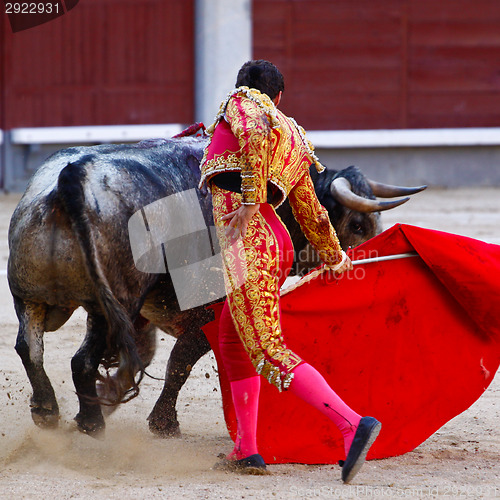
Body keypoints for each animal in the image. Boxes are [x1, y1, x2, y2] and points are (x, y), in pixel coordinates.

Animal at [5, 135, 424, 436]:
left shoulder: (143, 316)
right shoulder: (212, 309)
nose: (359, 267)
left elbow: (146, 356)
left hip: (30, 294)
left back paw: (49, 411)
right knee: (80, 359)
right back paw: (90, 422)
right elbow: (181, 359)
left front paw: (112, 395)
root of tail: (71, 179)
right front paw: (163, 423)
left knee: (30, 348)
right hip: (107, 307)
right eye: (358, 224)